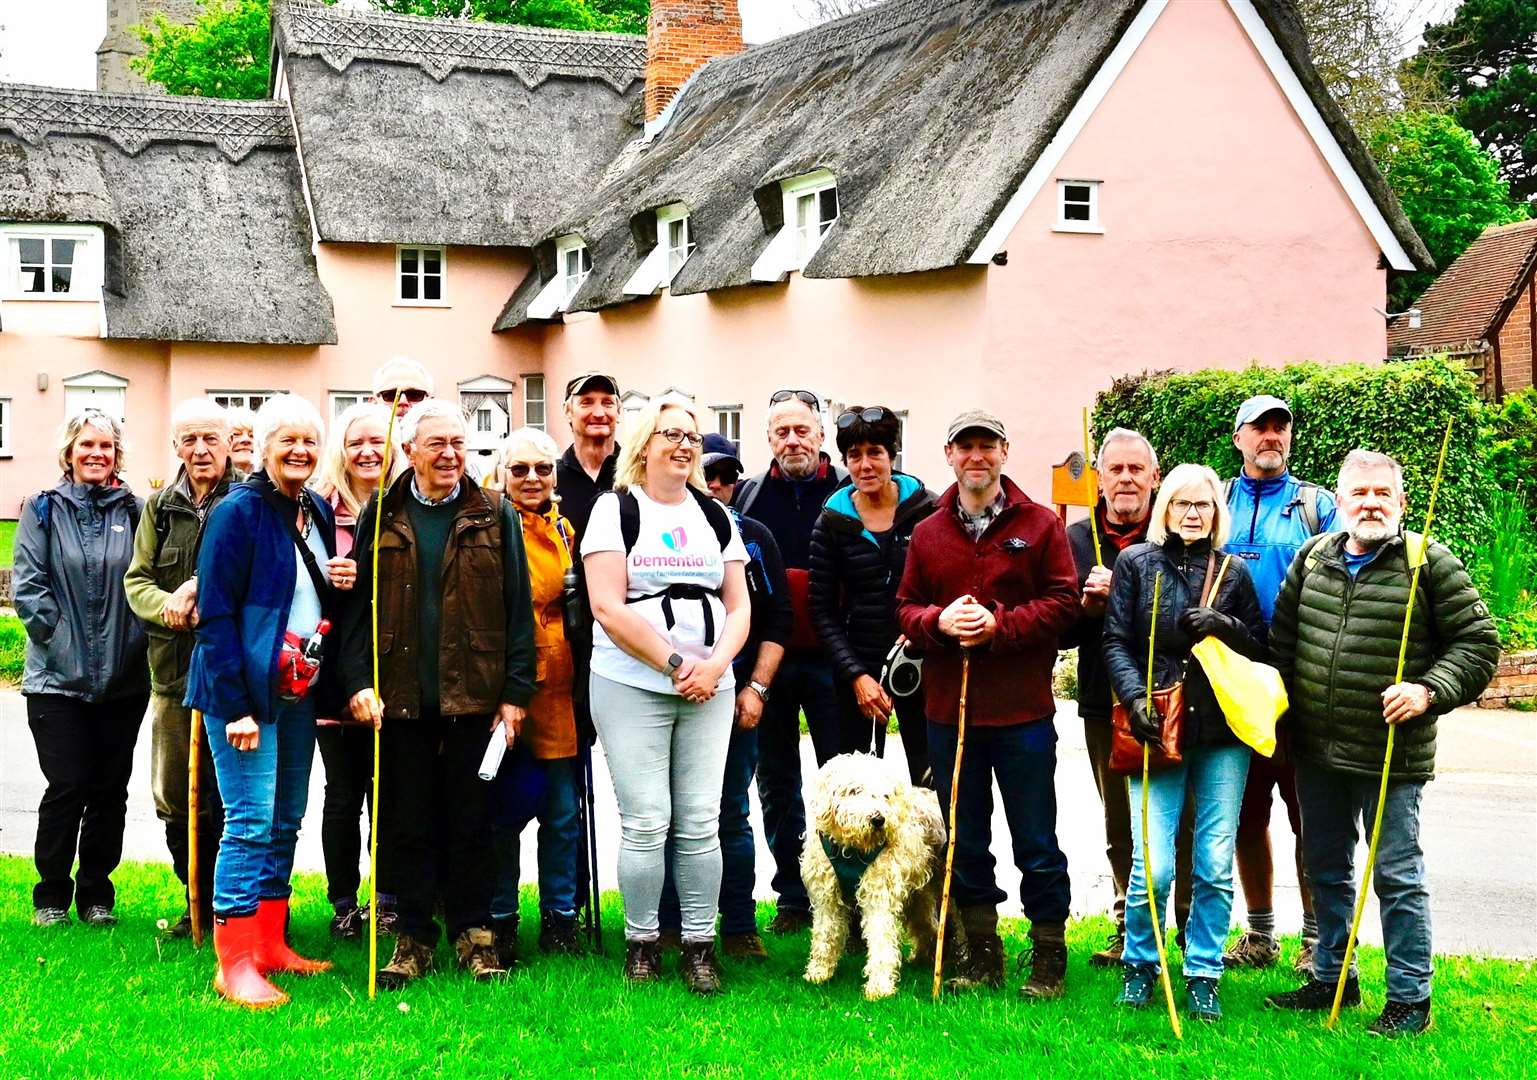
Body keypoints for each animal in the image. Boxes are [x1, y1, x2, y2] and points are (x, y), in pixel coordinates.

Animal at [799, 752, 940, 995]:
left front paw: (879, 987)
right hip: (918, 896)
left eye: (885, 795)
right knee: (925, 926)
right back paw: (923, 957)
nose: (878, 819)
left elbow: (881, 942)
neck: (851, 850)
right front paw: (818, 973)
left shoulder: (879, 897)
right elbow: (825, 935)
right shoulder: (826, 898)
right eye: (855, 790)